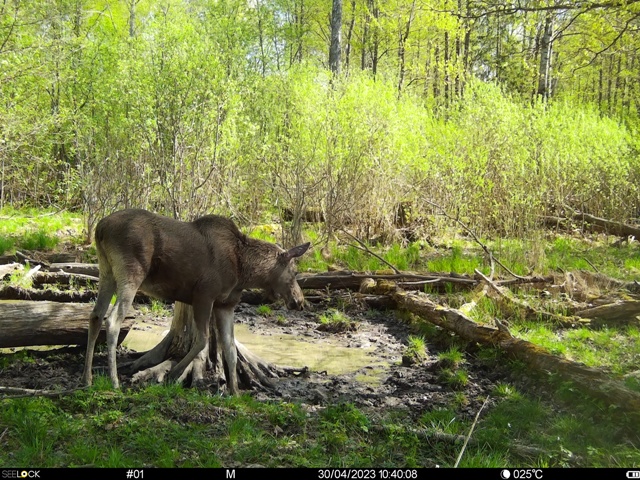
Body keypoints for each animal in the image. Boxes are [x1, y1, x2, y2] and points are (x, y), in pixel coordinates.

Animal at [81, 208, 310, 394]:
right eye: (294, 272)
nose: (300, 301)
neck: (244, 270)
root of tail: (100, 228)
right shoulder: (204, 295)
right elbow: (203, 339)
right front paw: (173, 374)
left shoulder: (225, 304)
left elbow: (230, 349)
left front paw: (235, 392)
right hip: (131, 272)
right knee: (113, 320)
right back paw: (114, 382)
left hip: (106, 270)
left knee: (95, 316)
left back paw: (88, 379)